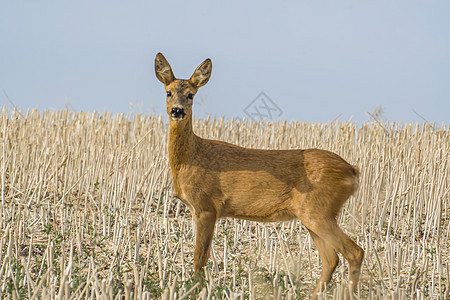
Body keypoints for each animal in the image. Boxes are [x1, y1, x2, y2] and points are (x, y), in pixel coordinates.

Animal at [156, 52, 366, 298]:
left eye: (191, 94)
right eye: (168, 92)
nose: (177, 111)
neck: (190, 158)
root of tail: (352, 170)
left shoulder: (207, 206)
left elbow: (200, 258)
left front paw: (195, 291)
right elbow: (202, 258)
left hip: (319, 210)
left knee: (354, 252)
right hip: (312, 215)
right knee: (331, 259)